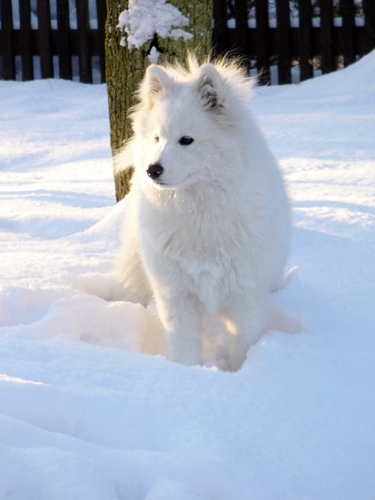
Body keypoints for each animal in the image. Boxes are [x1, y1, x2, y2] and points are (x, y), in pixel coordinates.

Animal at [114, 58, 290, 372]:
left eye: (186, 140)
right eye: (157, 138)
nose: (152, 170)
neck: (200, 215)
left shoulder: (246, 299)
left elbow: (242, 348)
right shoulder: (176, 297)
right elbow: (183, 350)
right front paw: (190, 376)